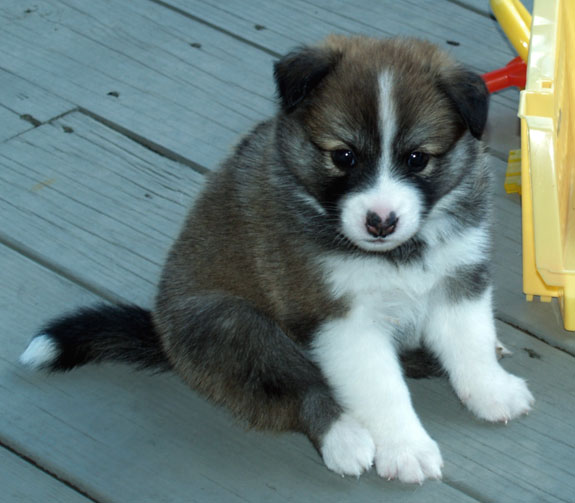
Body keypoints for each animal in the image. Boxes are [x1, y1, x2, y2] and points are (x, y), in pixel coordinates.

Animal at [21, 35, 536, 484]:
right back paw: (343, 436)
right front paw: (405, 447)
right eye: (343, 156)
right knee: (295, 386)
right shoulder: (337, 317)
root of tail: (163, 336)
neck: (399, 252)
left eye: (417, 159)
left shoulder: (459, 275)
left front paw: (491, 391)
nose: (380, 222)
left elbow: (469, 343)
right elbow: (380, 388)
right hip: (233, 323)